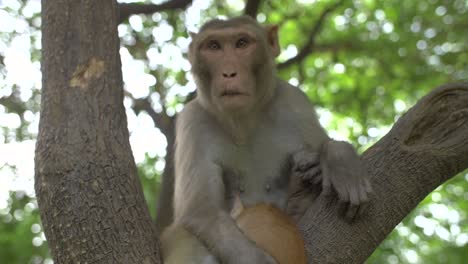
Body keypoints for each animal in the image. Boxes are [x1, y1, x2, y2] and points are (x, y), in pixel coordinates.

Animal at [161, 16, 372, 264]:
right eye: (213, 46)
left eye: (242, 43)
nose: (229, 73)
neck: (244, 121)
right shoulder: (193, 120)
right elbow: (202, 212)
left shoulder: (294, 102)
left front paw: (339, 158)